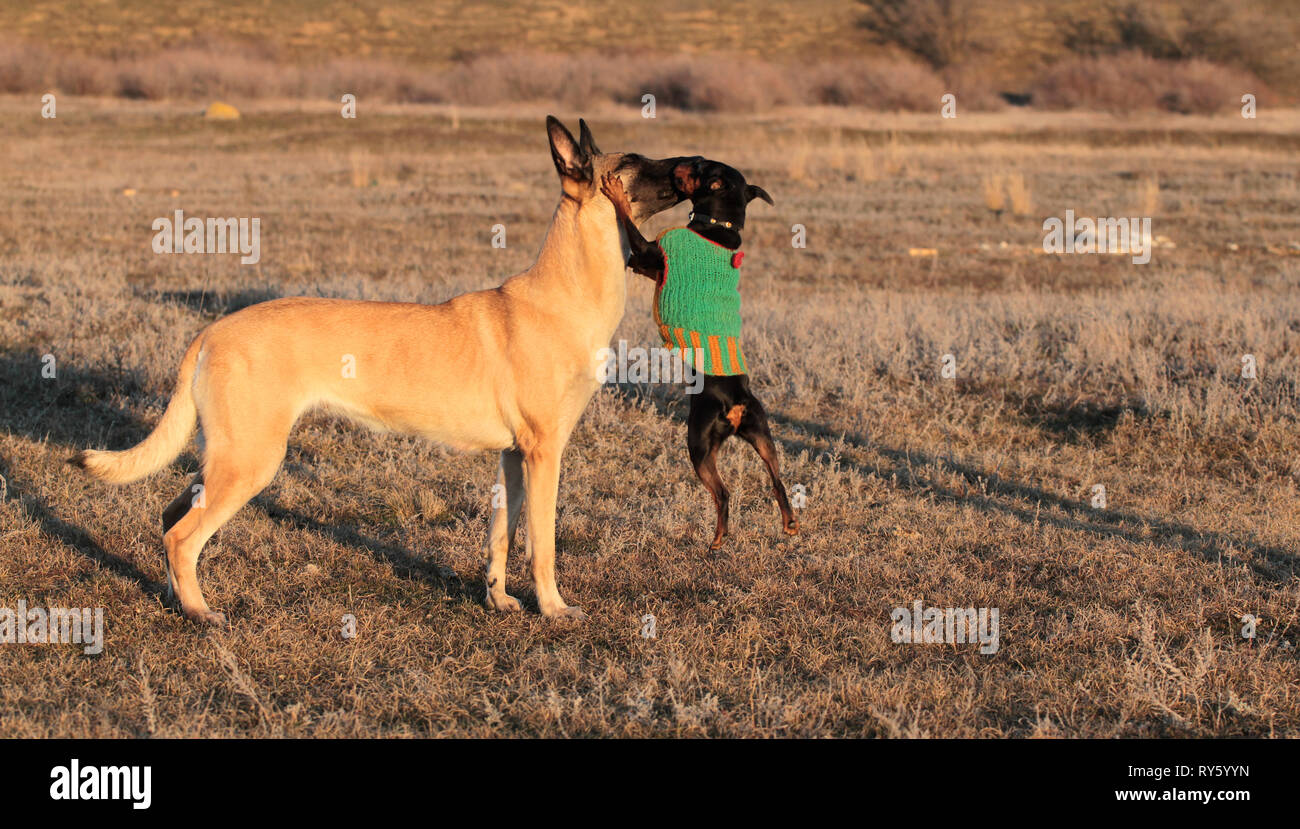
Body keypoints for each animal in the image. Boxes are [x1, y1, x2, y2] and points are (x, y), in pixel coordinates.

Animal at [69, 116, 696, 623]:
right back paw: (202, 613)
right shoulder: (544, 454)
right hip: (251, 459)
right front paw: (554, 608)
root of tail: (210, 332)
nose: (694, 166)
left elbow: (500, 534)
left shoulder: (513, 458)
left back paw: (178, 599)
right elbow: (541, 543)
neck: (565, 292)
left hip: (225, 456)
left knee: (169, 517)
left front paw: (497, 599)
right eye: (634, 164)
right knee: (182, 537)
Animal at [603, 161, 795, 550]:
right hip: (763, 435)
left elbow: (628, 222)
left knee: (723, 494)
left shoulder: (647, 255)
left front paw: (616, 191)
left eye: (700, 168)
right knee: (777, 480)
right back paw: (789, 523)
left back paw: (718, 539)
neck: (719, 227)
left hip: (699, 443)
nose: (680, 163)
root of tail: (736, 400)